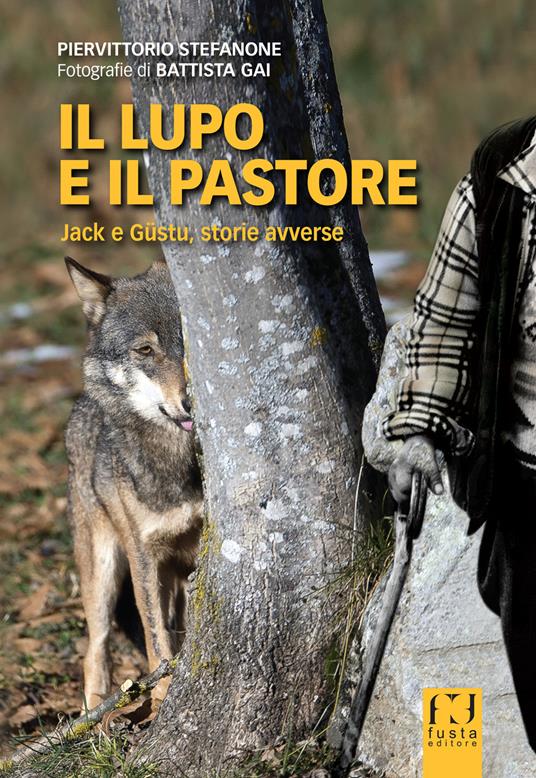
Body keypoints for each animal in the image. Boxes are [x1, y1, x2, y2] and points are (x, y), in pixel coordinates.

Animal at [64, 257, 203, 709]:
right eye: (145, 350)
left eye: (191, 338)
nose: (190, 402)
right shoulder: (145, 556)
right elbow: (156, 640)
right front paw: (162, 701)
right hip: (102, 570)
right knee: (95, 647)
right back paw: (96, 714)